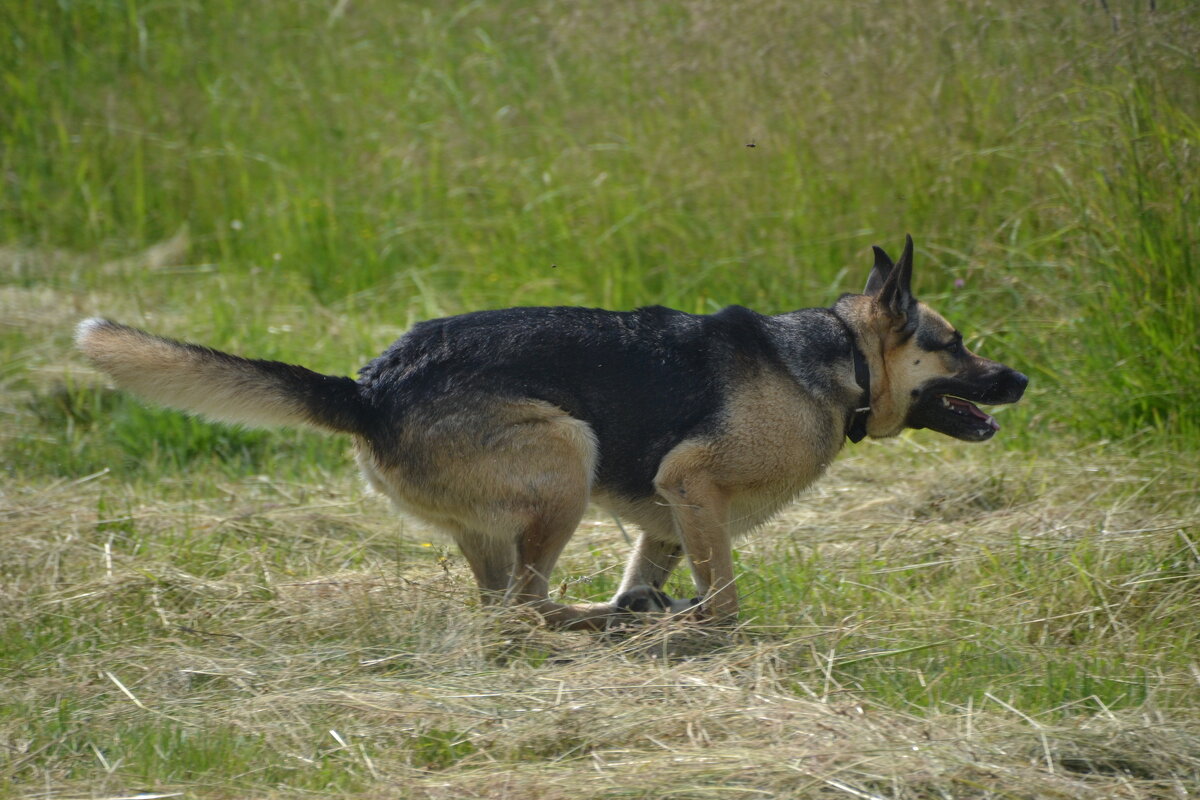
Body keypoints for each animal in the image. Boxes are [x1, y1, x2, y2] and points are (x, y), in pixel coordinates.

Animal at [79, 237, 1027, 633]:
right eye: (955, 344)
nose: (1020, 381)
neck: (840, 361)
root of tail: (370, 387)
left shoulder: (666, 519)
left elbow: (657, 575)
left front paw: (650, 610)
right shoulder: (695, 486)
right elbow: (725, 598)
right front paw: (692, 626)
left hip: (512, 513)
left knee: (504, 606)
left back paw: (603, 619)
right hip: (568, 456)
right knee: (531, 602)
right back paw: (584, 620)